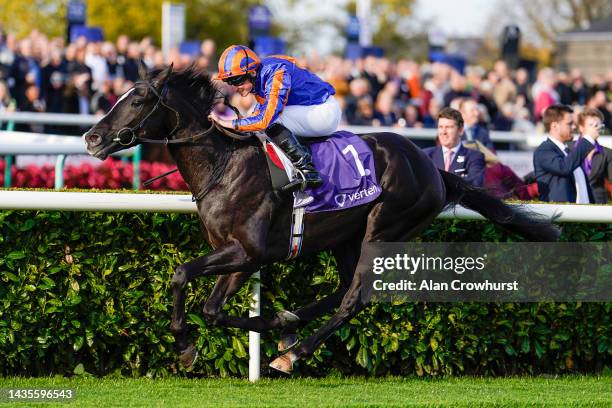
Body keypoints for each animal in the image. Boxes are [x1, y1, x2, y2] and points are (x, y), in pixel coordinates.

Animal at [82, 63, 560, 372]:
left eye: (139, 99)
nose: (92, 138)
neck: (224, 165)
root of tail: (430, 167)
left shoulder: (248, 251)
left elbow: (182, 275)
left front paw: (185, 345)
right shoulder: (241, 256)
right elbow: (213, 309)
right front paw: (272, 323)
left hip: (384, 227)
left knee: (355, 298)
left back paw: (295, 353)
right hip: (346, 237)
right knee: (345, 288)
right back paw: (290, 327)